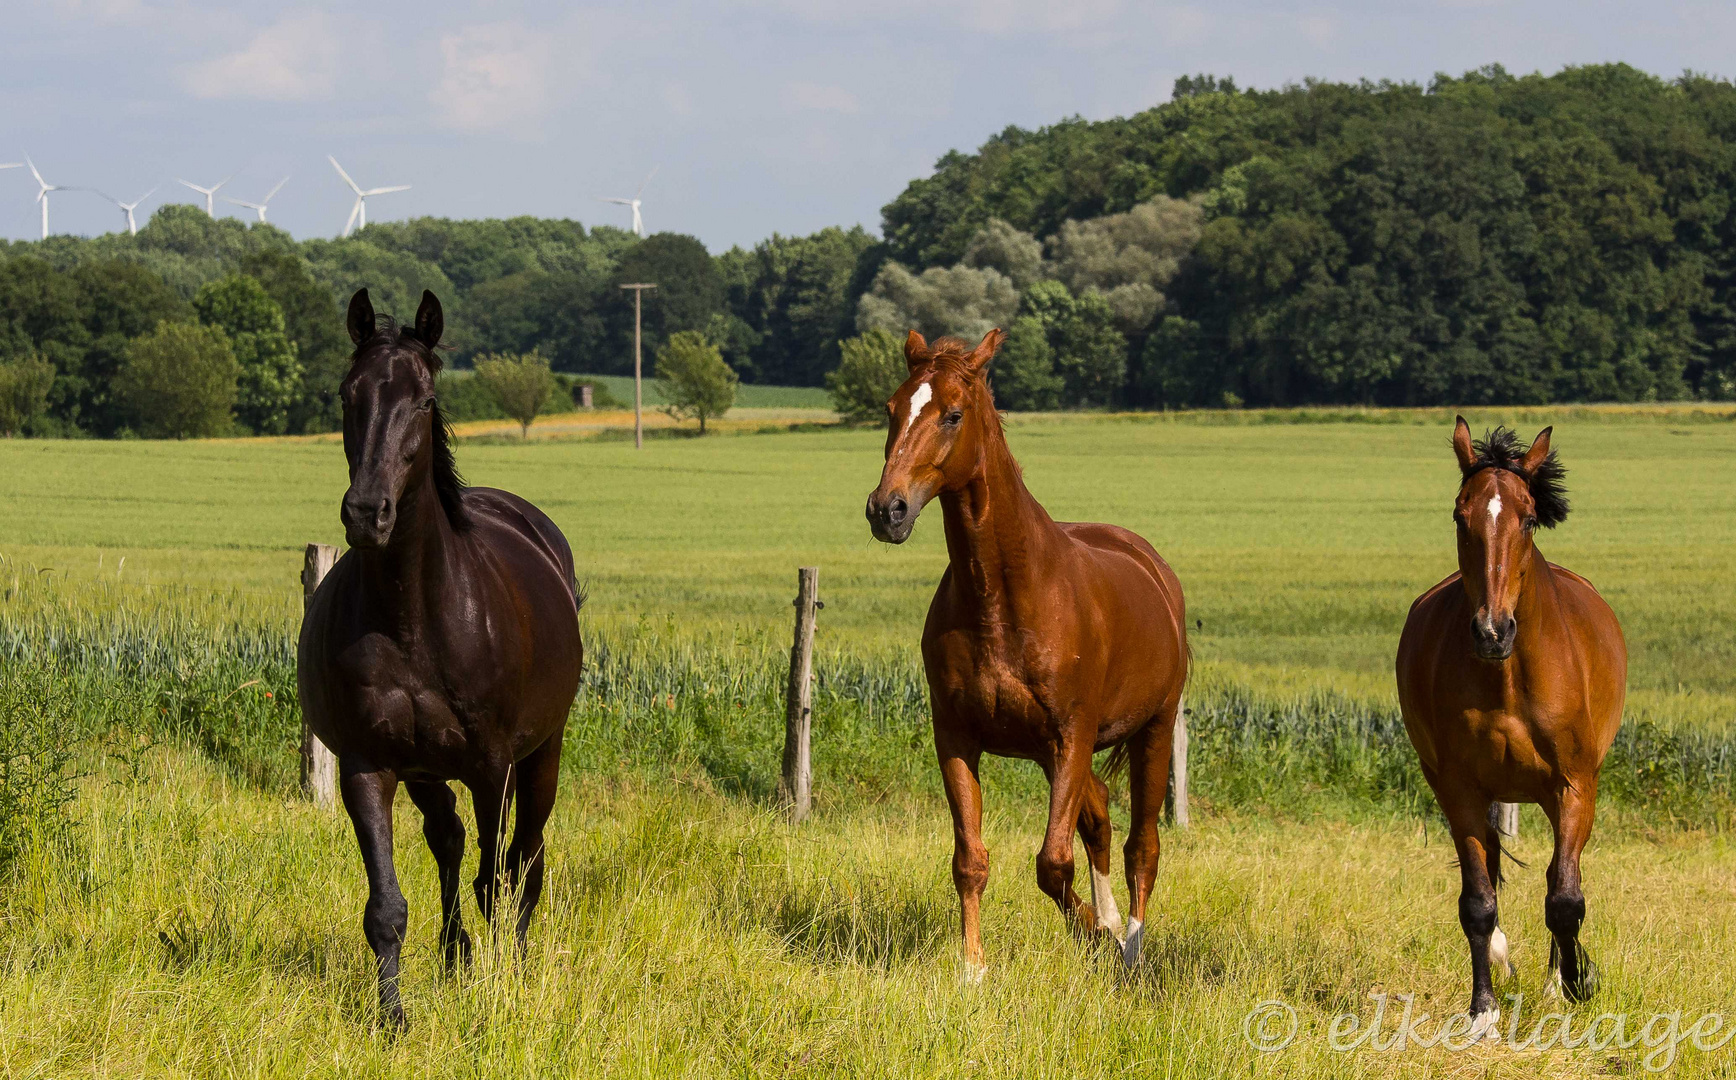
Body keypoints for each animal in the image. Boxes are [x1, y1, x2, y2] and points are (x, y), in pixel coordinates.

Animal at [298, 289, 590, 1034]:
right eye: (347, 394)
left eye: (424, 400)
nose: (367, 512)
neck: (414, 615)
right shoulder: (368, 766)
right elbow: (386, 905)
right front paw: (392, 1018)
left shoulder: (492, 767)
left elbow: (498, 881)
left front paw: (501, 995)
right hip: (427, 772)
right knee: (450, 840)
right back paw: (455, 956)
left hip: (541, 756)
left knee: (522, 862)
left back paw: (512, 962)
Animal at [868, 326, 1194, 979]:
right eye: (892, 409)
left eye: (953, 414)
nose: (887, 510)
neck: (1005, 596)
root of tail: (1155, 569)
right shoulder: (959, 738)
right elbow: (970, 859)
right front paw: (973, 970)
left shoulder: (1072, 735)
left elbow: (1052, 863)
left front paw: (1099, 938)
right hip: (1055, 754)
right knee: (1100, 820)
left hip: (1151, 728)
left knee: (1142, 846)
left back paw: (1132, 949)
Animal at [1395, 421, 1624, 1041]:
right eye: (1460, 515)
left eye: (1527, 518)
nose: (1492, 631)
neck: (1508, 677)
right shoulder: (1460, 790)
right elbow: (1477, 902)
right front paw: (1483, 1012)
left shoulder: (1573, 787)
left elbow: (1565, 897)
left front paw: (1576, 984)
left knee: (1557, 881)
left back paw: (1555, 979)